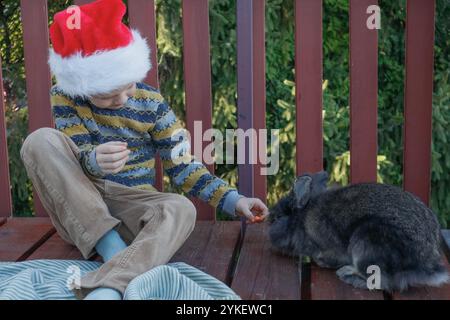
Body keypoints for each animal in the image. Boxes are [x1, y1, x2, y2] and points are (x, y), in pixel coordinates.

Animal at [268, 171, 448, 292]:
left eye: (277, 218)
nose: (269, 221)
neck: (302, 218)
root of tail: (426, 264)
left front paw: (324, 263)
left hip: (366, 241)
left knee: (383, 281)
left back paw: (347, 275)